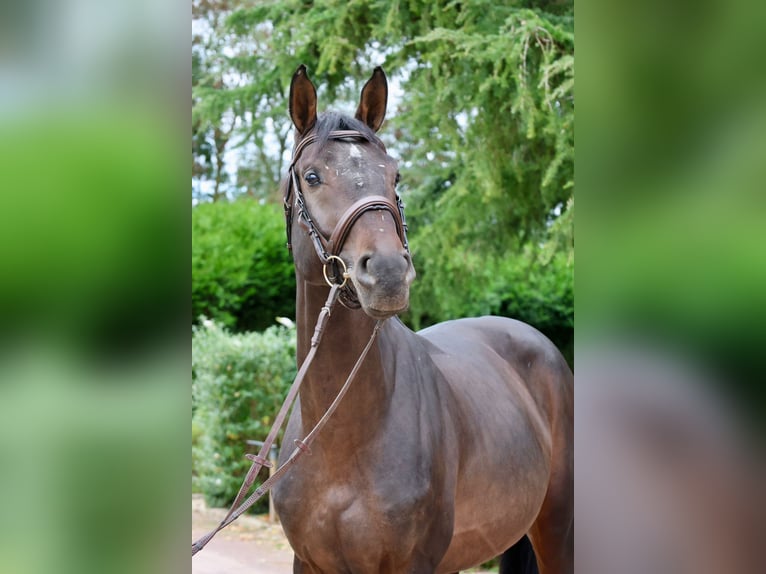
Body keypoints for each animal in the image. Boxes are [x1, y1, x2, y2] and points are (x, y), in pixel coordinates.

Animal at [271, 64, 573, 574]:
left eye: (394, 174)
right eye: (312, 176)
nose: (388, 273)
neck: (340, 439)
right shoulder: (307, 563)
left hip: (556, 527)